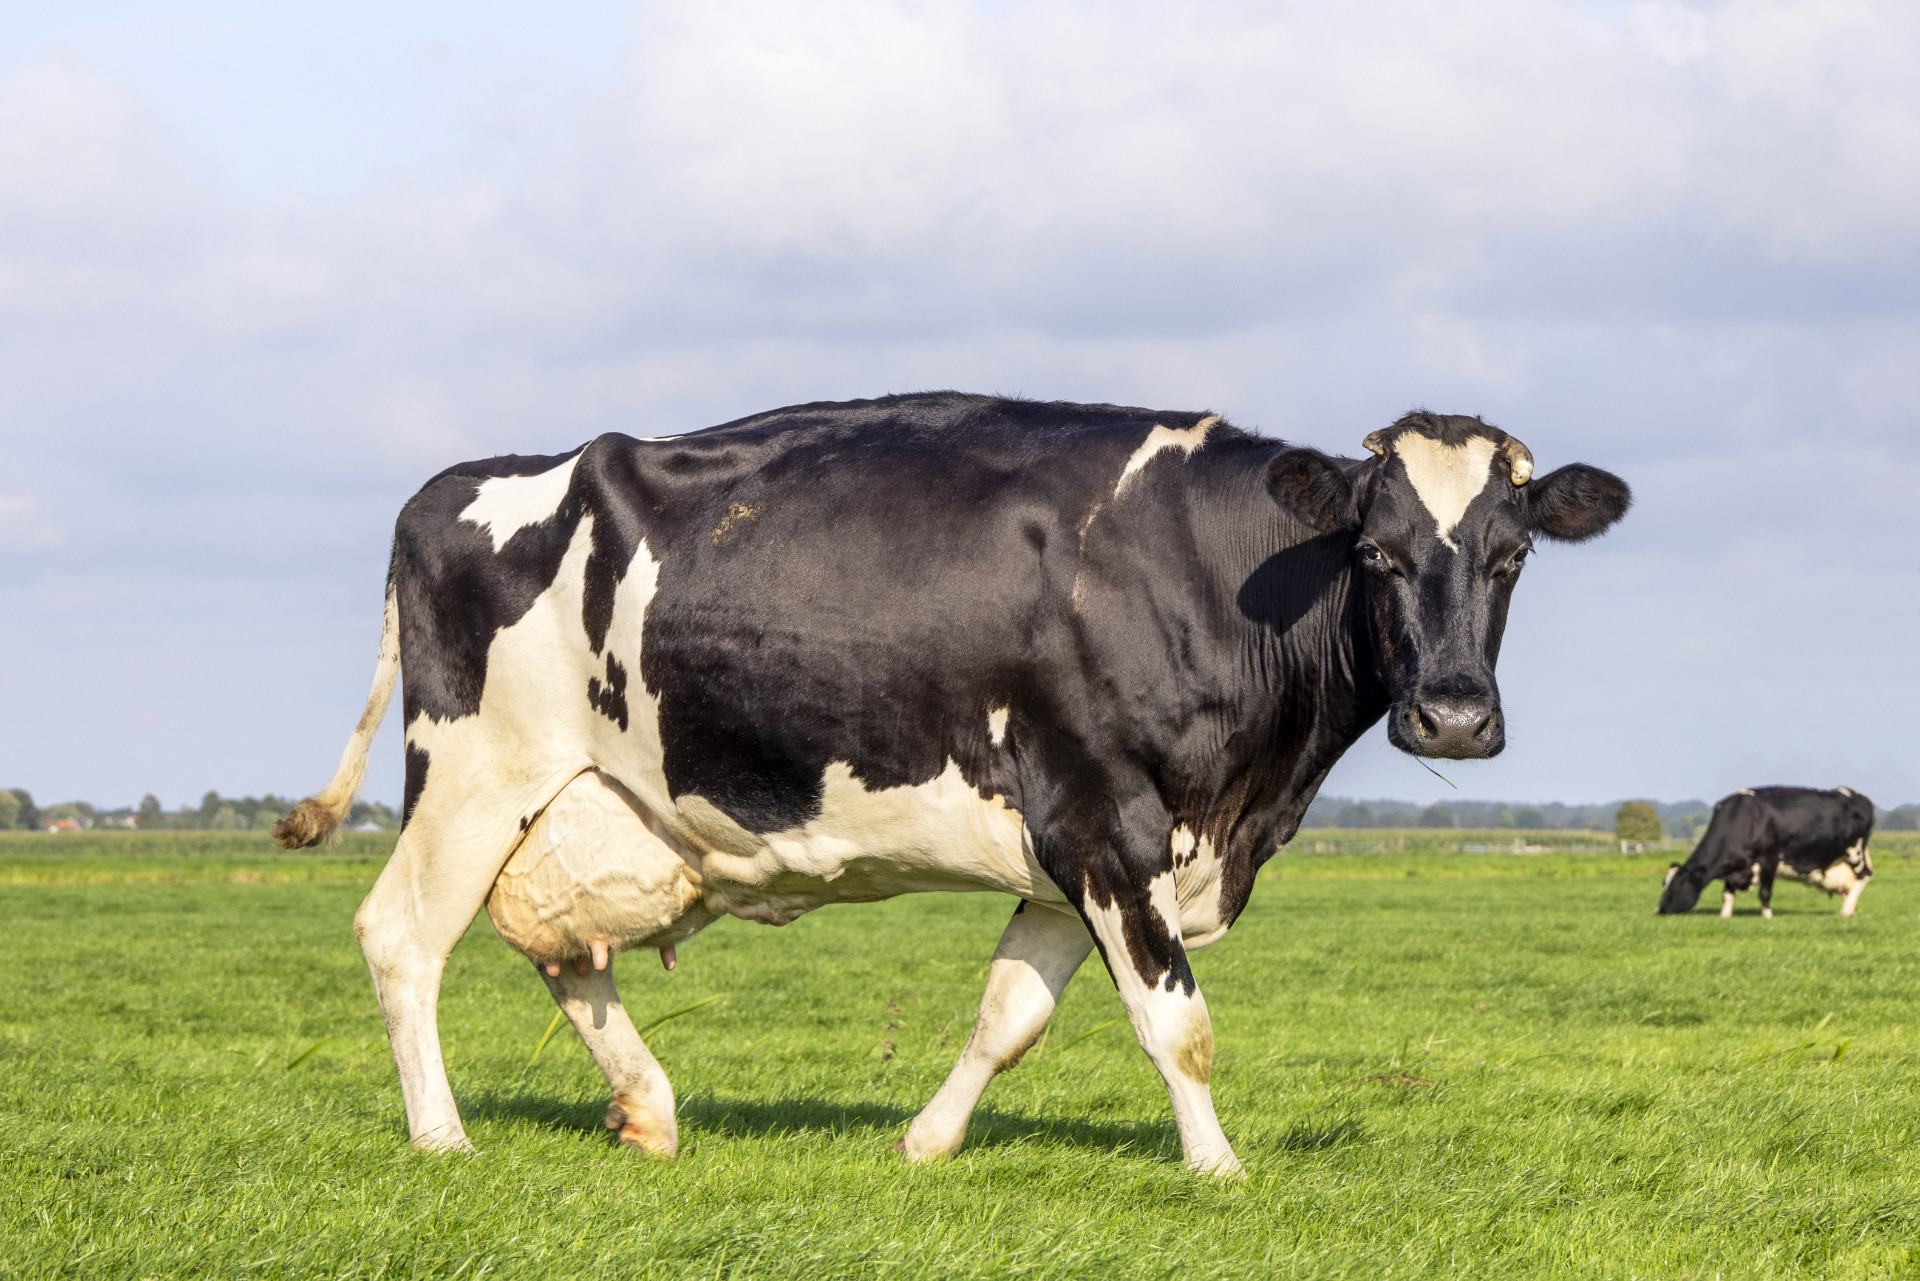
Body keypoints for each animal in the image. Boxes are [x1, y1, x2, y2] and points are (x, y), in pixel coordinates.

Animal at [276, 393, 1630, 1175]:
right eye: (1377, 552)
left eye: (1512, 557)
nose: (1453, 715)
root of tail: (458, 484)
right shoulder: (1108, 817)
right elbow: (1177, 1024)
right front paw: (1219, 1170)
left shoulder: (1072, 851)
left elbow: (1009, 1015)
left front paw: (924, 1143)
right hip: (474, 773)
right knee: (403, 935)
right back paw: (443, 1135)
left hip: (590, 807)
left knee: (561, 950)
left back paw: (649, 1109)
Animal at [1658, 786, 1875, 919]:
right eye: (1663, 883)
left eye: (1676, 886)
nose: (1659, 910)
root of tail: (1858, 796)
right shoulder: (1735, 865)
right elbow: (1727, 894)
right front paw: (1725, 916)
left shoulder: (1769, 858)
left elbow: (1764, 892)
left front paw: (1767, 916)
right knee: (1851, 886)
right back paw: (1850, 910)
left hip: (1855, 852)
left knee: (1864, 877)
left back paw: (1846, 911)